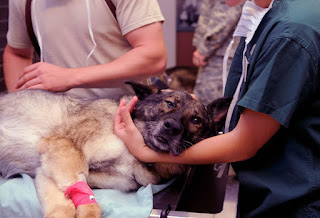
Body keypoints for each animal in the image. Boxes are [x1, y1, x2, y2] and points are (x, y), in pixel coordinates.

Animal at [0, 82, 230, 218]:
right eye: (170, 103)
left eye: (196, 120)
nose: (172, 127)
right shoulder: (64, 148)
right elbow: (84, 201)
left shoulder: (49, 169)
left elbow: (66, 201)